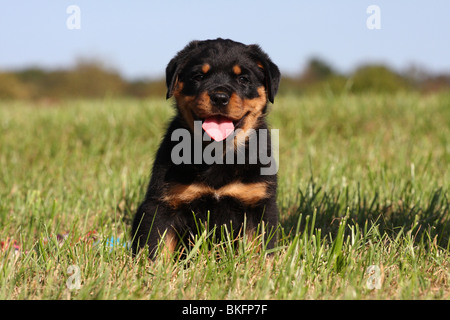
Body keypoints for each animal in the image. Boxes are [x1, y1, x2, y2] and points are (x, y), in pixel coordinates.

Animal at [130, 38, 280, 258]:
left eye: (243, 79)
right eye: (198, 76)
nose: (219, 97)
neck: (218, 153)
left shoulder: (259, 203)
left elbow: (260, 249)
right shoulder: (162, 204)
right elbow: (157, 247)